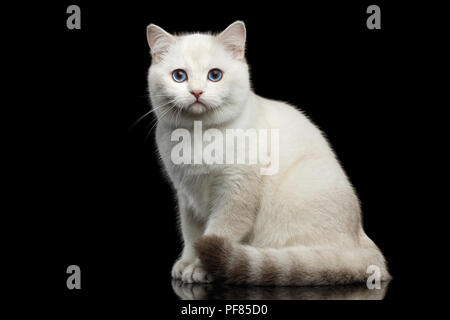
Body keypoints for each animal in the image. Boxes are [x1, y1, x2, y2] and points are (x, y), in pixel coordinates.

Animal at [145, 20, 390, 284]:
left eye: (215, 75)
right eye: (179, 76)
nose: (197, 92)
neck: (199, 136)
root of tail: (364, 243)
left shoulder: (235, 195)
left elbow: (217, 233)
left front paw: (200, 269)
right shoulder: (187, 196)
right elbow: (191, 236)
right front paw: (185, 265)